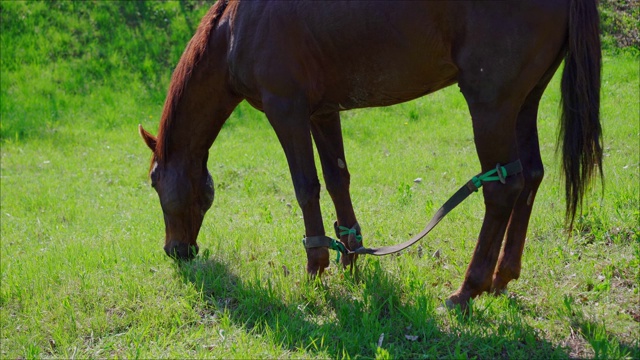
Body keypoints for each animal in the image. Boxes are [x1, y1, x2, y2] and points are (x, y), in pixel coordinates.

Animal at [138, 0, 604, 310]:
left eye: (155, 182)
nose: (175, 251)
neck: (237, 29)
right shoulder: (322, 112)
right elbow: (336, 179)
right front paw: (350, 257)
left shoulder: (285, 110)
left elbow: (306, 186)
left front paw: (317, 266)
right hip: (524, 102)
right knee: (531, 177)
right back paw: (503, 277)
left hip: (491, 105)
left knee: (502, 189)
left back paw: (468, 289)